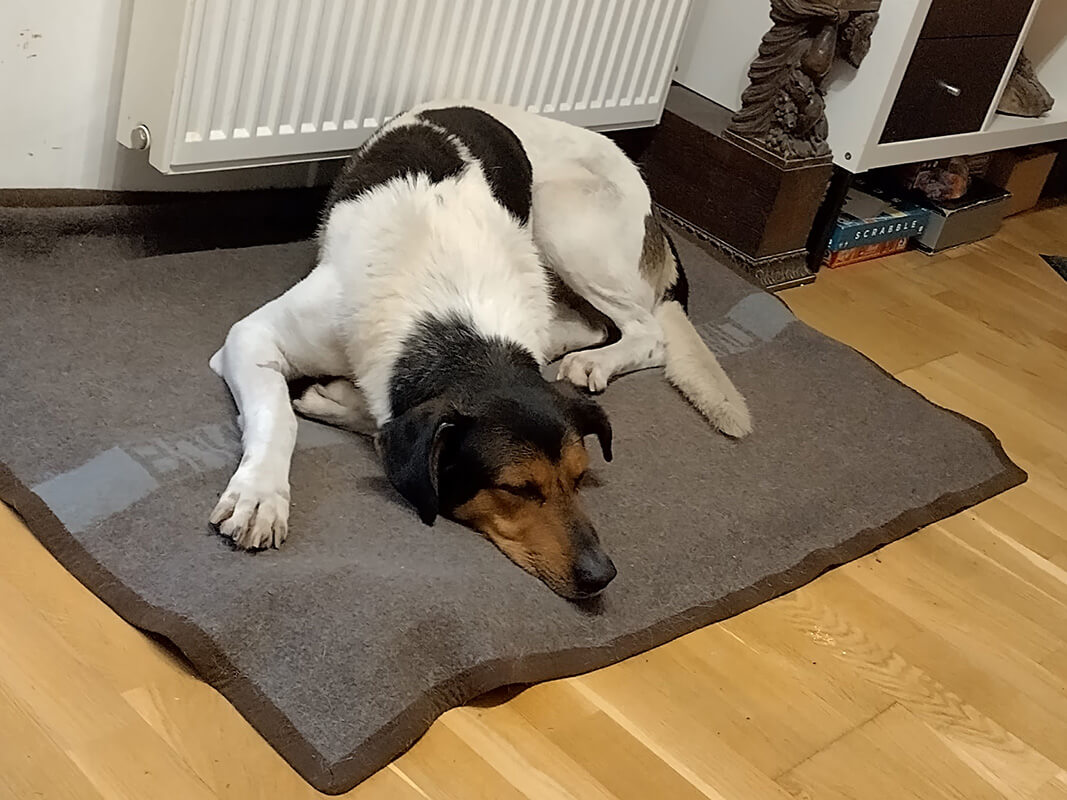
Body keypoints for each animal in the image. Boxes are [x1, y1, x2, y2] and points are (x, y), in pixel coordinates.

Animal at [209, 102, 751, 599]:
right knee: (606, 324)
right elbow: (280, 416)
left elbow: (379, 420)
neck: (458, 320)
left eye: (580, 478)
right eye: (515, 489)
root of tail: (651, 202)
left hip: (566, 225)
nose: (602, 576)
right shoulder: (250, 337)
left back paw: (593, 361)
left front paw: (340, 404)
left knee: (645, 331)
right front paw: (260, 495)